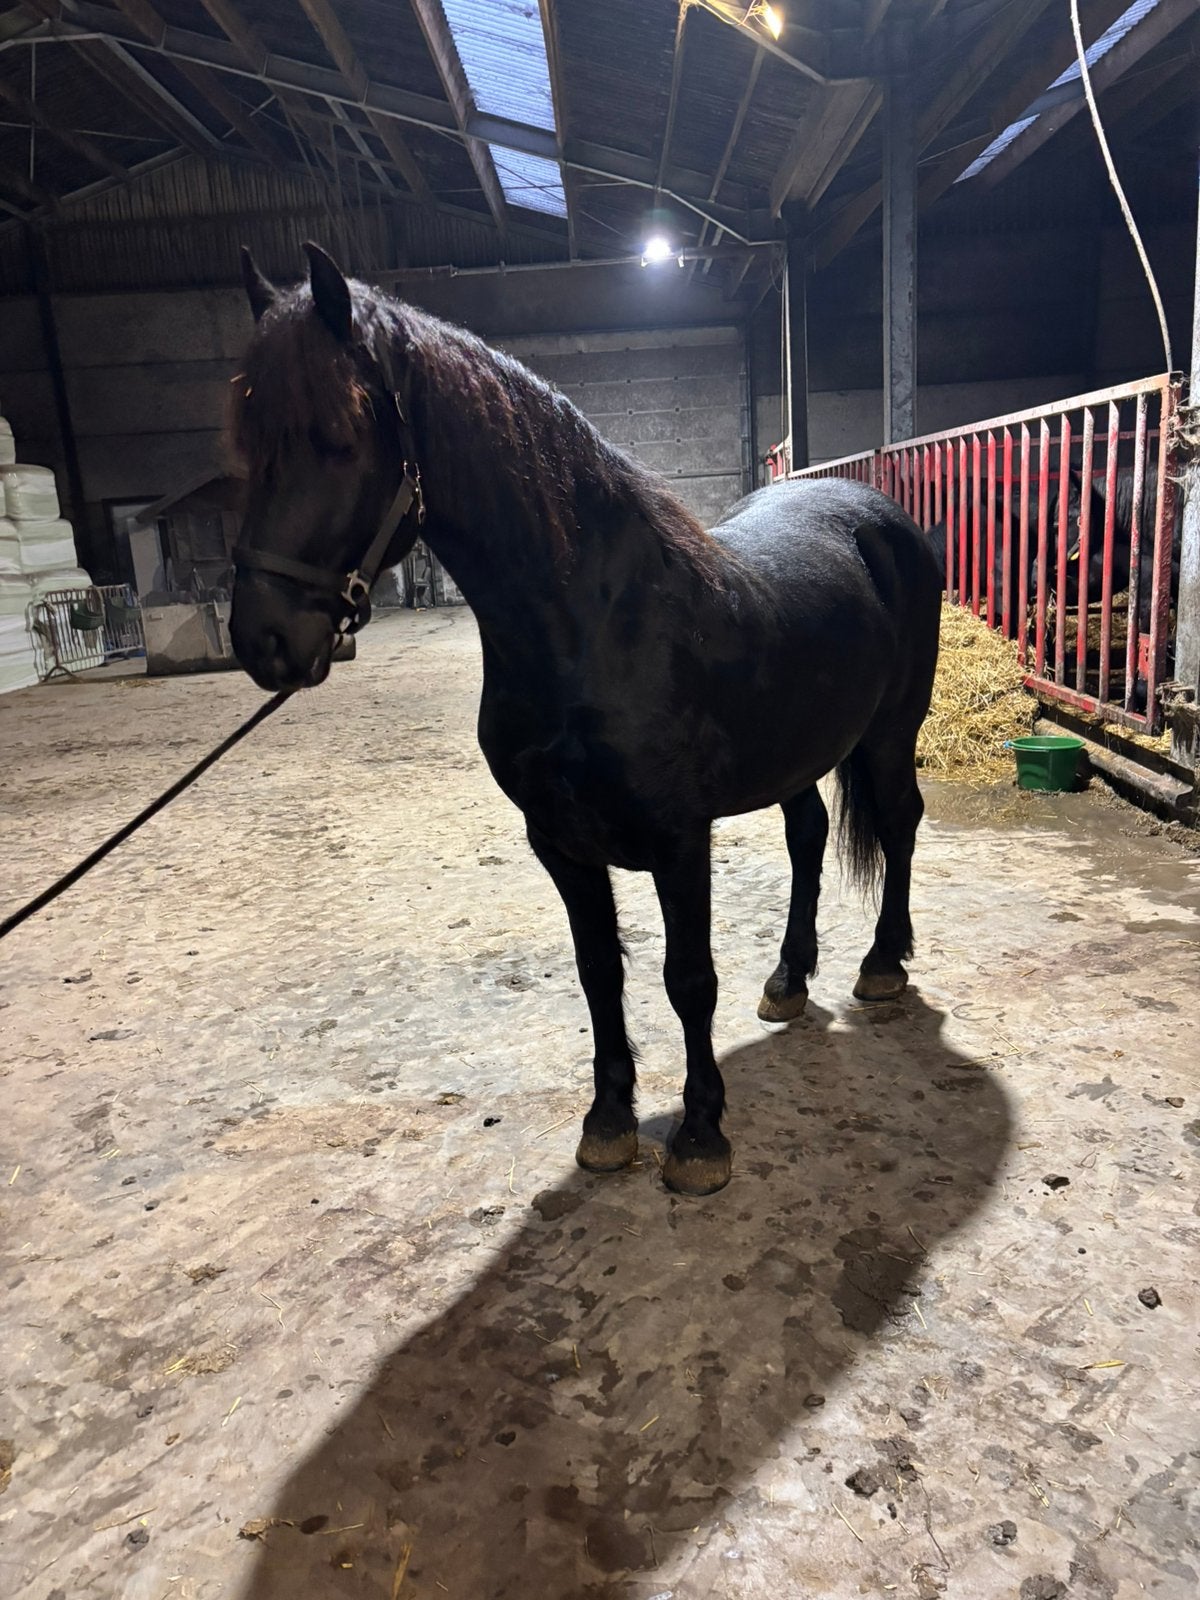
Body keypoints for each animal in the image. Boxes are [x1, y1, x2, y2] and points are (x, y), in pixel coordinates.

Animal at [228, 243, 943, 1197]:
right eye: (245, 441)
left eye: (339, 437)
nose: (262, 640)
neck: (595, 626)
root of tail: (878, 517)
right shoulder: (559, 842)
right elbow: (599, 972)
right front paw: (608, 1121)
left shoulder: (680, 840)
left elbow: (688, 978)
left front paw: (700, 1136)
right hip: (795, 753)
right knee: (809, 835)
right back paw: (790, 979)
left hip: (891, 732)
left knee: (898, 822)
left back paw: (882, 965)